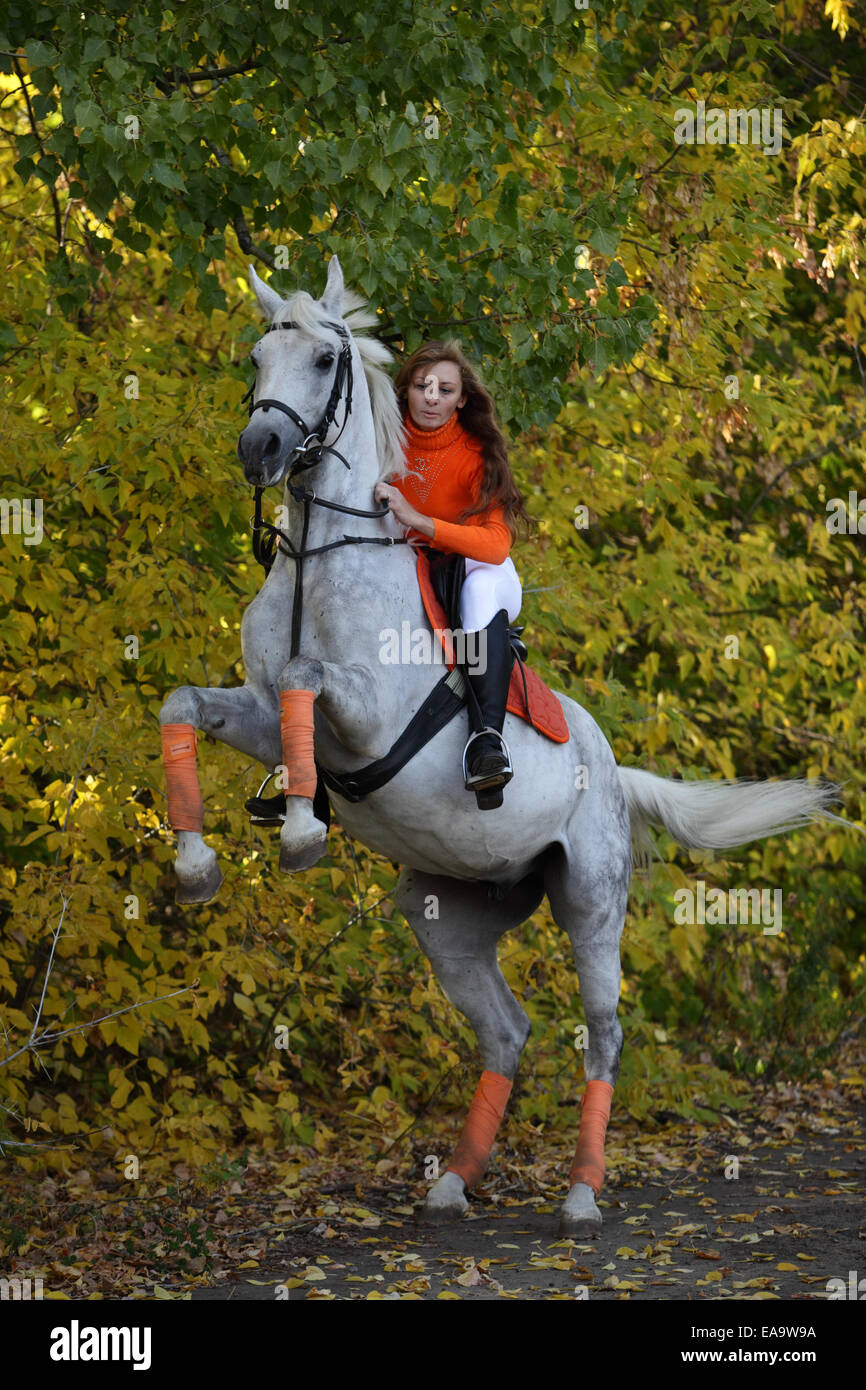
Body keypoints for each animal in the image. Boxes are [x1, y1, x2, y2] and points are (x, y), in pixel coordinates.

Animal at [161, 255, 845, 1234]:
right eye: (257, 354)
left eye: (326, 359)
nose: (260, 449)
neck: (320, 561)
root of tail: (614, 770)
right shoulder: (255, 712)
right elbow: (184, 702)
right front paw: (196, 866)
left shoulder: (363, 712)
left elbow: (306, 675)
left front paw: (298, 835)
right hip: (449, 915)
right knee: (507, 1029)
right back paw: (453, 1180)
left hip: (590, 899)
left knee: (602, 1035)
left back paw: (582, 1196)